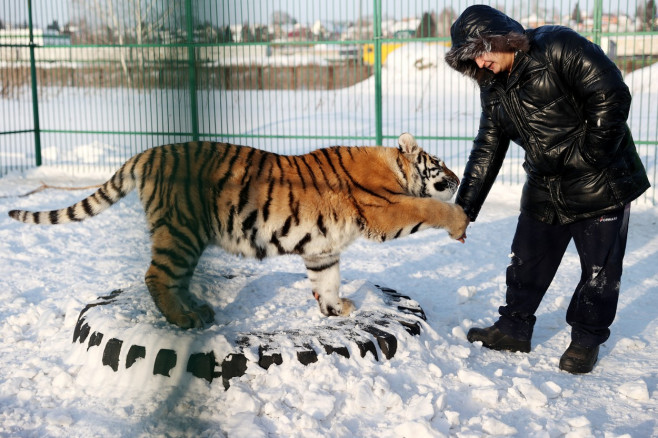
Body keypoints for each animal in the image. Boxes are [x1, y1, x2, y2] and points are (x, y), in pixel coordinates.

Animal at [9, 133, 466, 328]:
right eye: (440, 162)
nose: (460, 177)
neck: (395, 167)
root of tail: (148, 152)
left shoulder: (322, 248)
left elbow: (327, 280)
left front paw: (335, 309)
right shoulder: (385, 211)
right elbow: (428, 206)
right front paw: (459, 219)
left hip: (182, 237)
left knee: (171, 280)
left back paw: (197, 310)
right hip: (181, 232)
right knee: (156, 277)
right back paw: (184, 319)